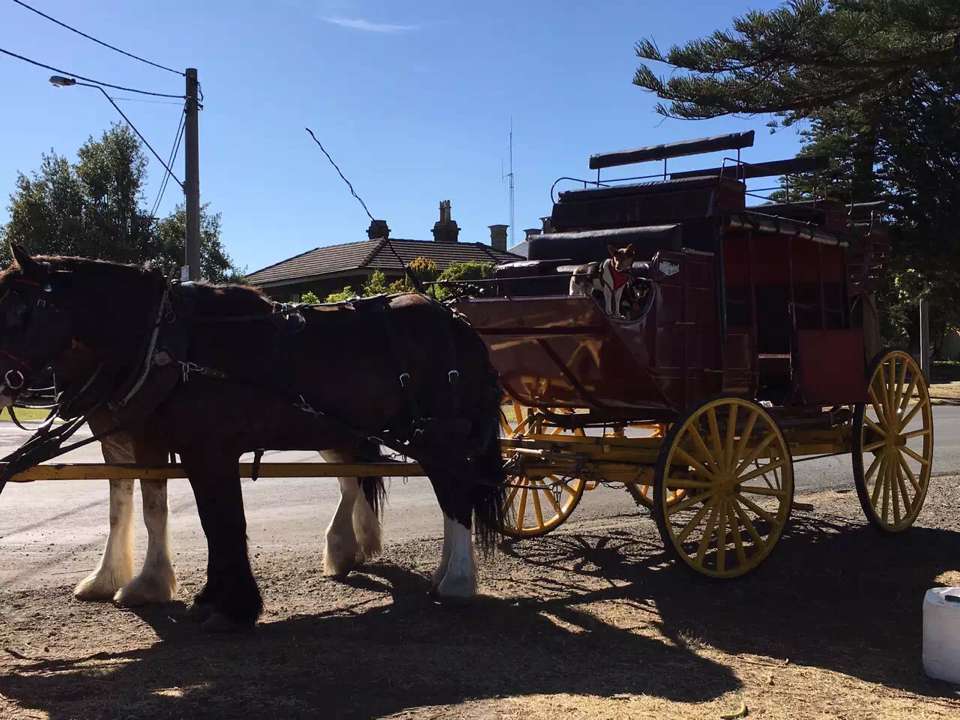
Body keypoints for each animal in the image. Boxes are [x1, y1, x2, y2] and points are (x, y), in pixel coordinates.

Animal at [0, 246, 506, 632]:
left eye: (17, 310)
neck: (173, 345)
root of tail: (457, 322)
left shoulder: (209, 452)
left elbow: (220, 522)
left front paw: (231, 606)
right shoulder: (156, 445)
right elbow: (159, 512)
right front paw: (186, 593)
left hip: (436, 435)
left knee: (454, 494)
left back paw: (455, 582)